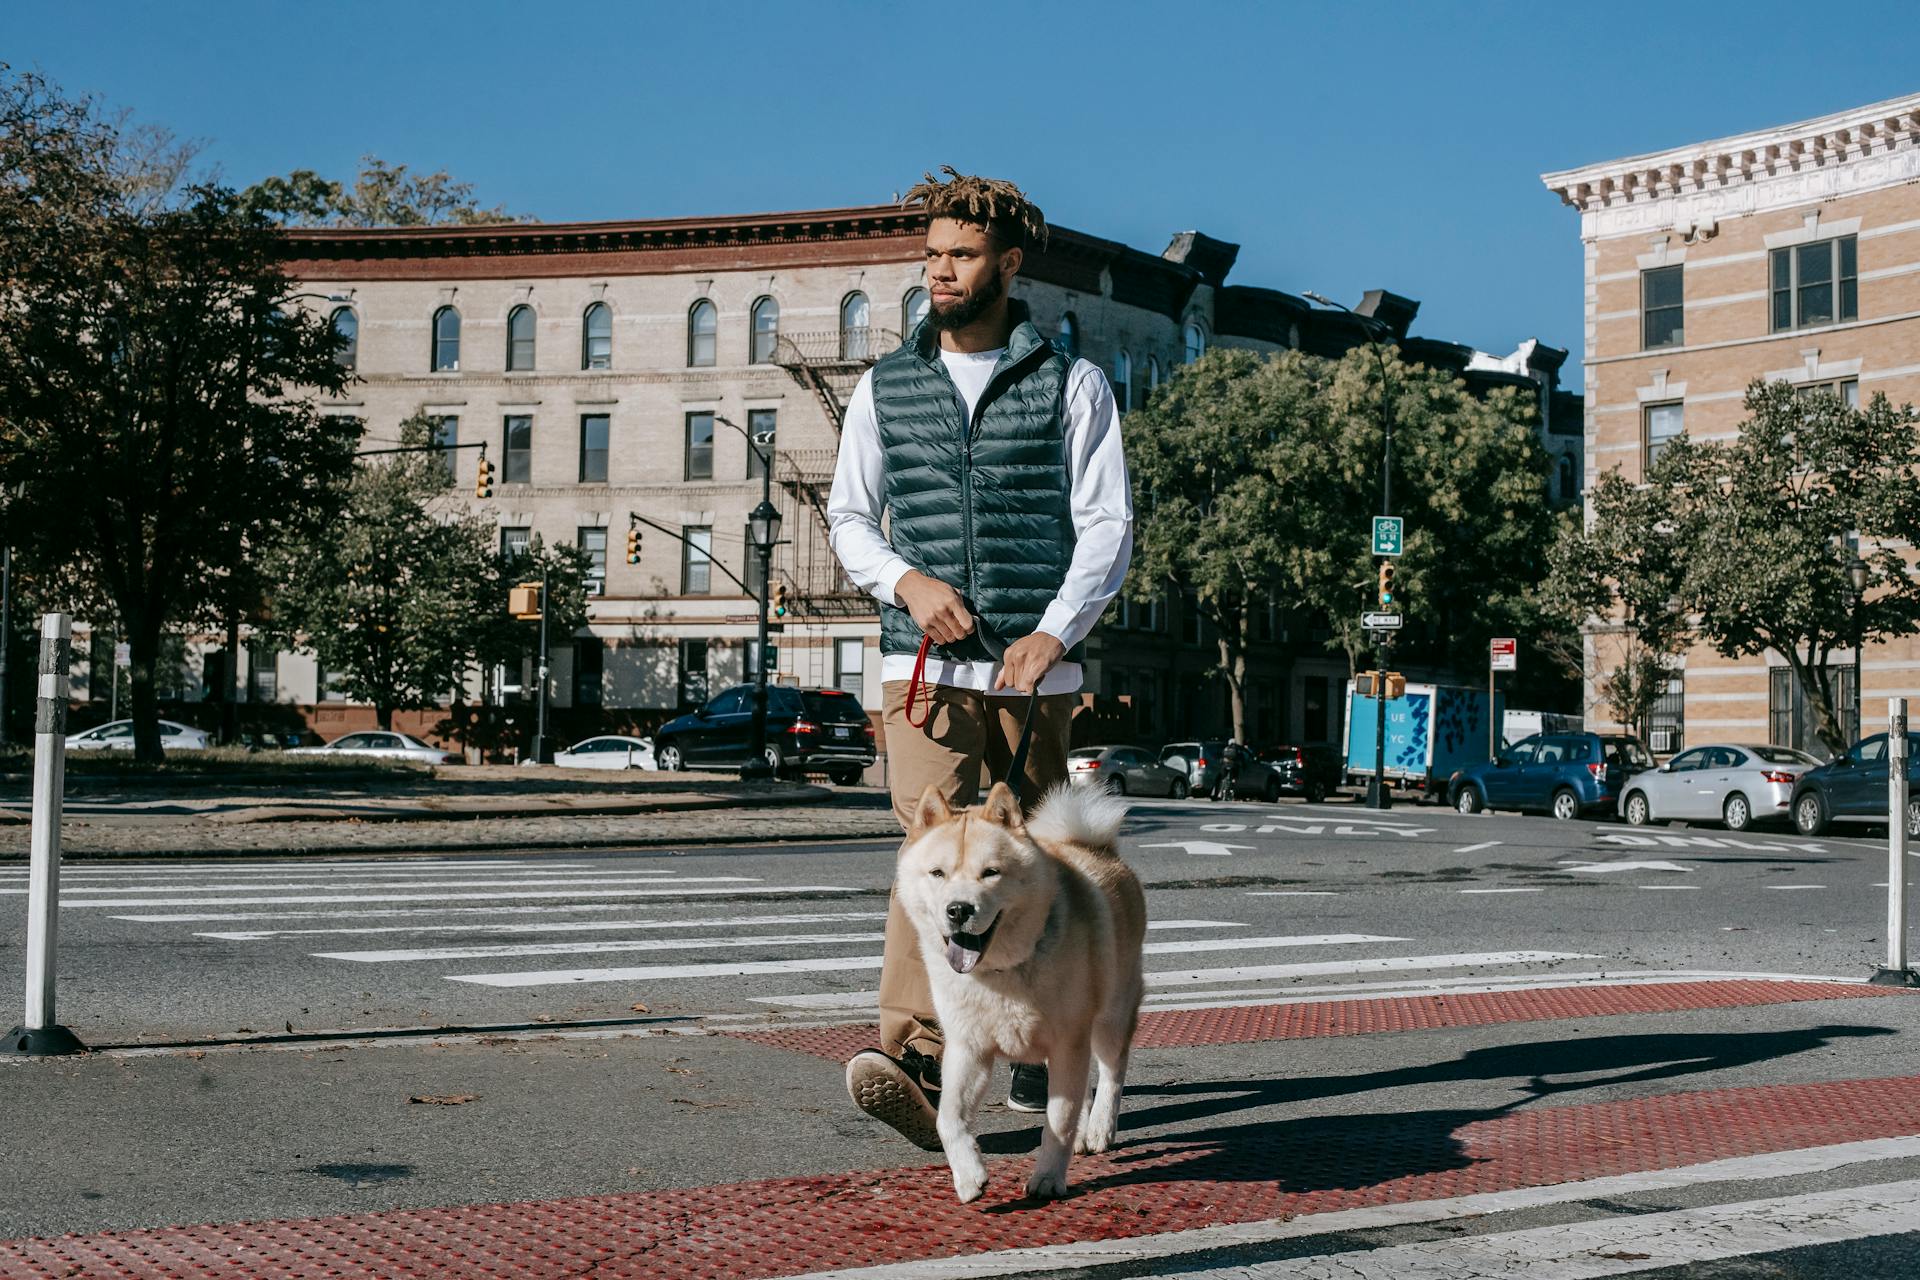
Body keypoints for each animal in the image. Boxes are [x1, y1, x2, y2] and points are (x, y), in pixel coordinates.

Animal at [894, 775, 1144, 1205]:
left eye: (990, 872)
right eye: (938, 873)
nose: (958, 909)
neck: (1000, 972)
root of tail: (1095, 847)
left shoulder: (1067, 1042)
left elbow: (1058, 1119)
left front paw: (1048, 1177)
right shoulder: (968, 1048)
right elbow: (948, 1118)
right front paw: (969, 1176)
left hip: (1111, 1017)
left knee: (1111, 1072)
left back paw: (1098, 1129)